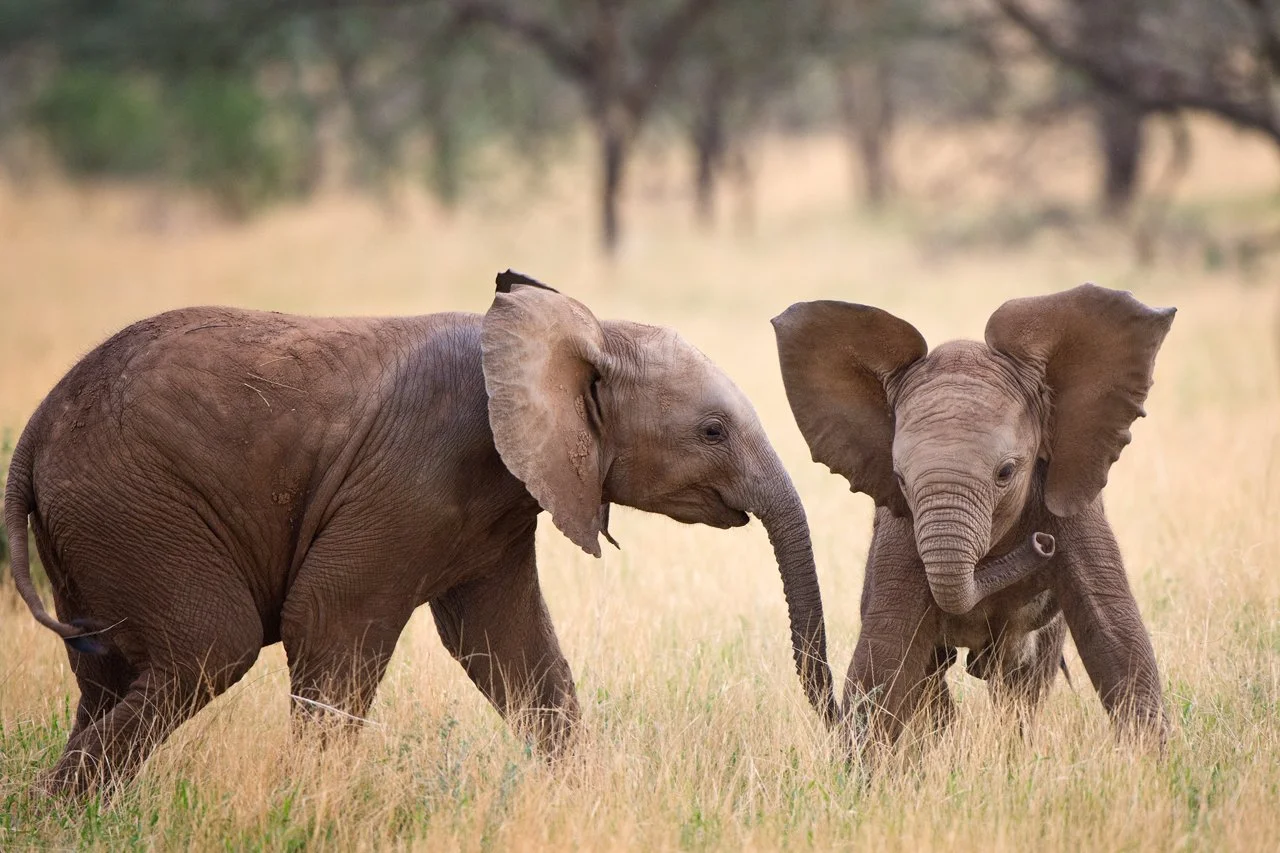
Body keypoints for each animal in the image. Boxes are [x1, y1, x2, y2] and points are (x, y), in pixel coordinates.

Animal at [4, 271, 837, 795]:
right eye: (711, 430)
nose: (841, 723)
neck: (575, 332)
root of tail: (35, 429)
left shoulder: (496, 503)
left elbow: (510, 644)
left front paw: (595, 798)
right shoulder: (418, 469)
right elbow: (331, 618)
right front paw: (311, 804)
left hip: (102, 523)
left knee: (107, 675)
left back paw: (68, 814)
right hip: (135, 502)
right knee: (212, 644)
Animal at [772, 283, 1174, 758]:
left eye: (1006, 472)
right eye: (900, 478)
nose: (1043, 544)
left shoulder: (1073, 506)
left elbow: (1116, 636)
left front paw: (1151, 765)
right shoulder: (904, 524)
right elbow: (886, 651)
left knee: (1022, 685)